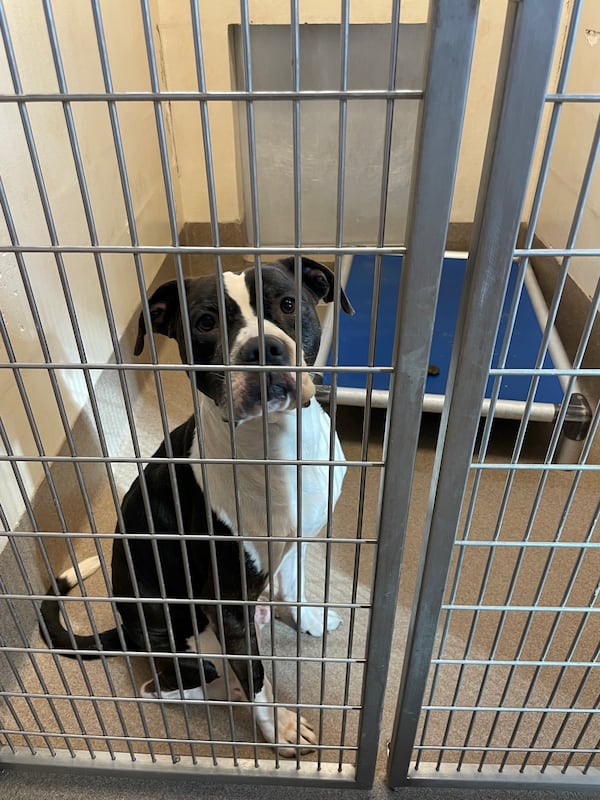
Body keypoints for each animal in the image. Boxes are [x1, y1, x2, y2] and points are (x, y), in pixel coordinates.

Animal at [42, 258, 354, 756]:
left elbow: (292, 585)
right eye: (206, 323)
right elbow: (256, 674)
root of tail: (127, 631)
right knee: (169, 685)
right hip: (177, 636)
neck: (275, 442)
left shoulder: (298, 536)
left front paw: (306, 617)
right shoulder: (223, 597)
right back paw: (220, 686)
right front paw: (279, 726)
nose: (262, 349)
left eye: (288, 304)